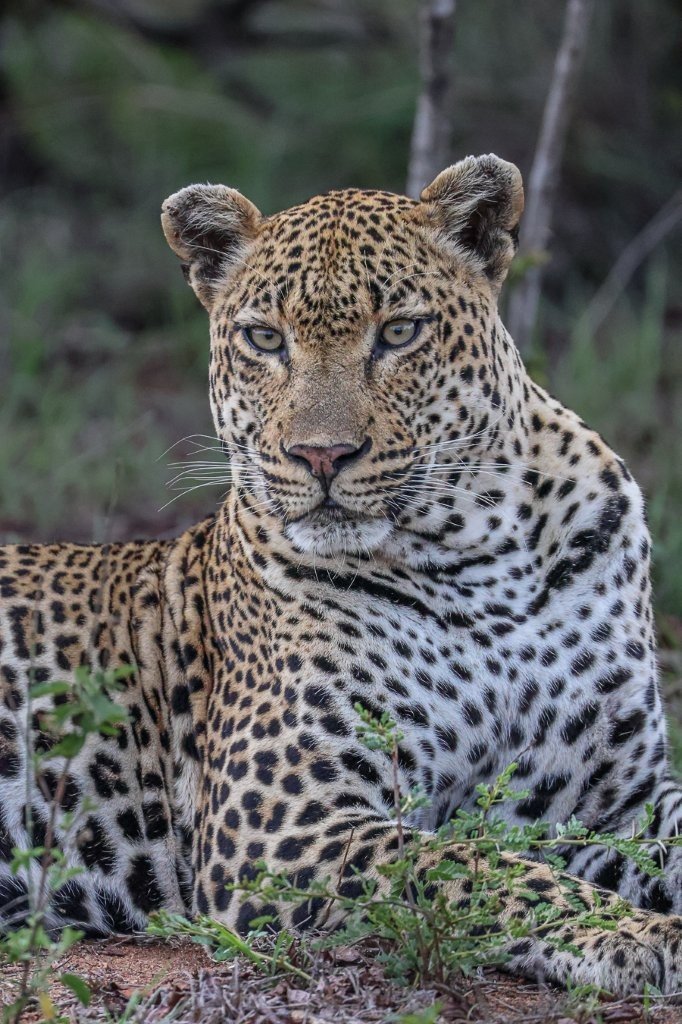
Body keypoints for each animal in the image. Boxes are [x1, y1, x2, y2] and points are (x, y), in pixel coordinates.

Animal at [1, 154, 681, 998]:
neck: (483, 561)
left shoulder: (618, 800)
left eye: (399, 332)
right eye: (265, 339)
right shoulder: (282, 824)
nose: (321, 455)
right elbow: (474, 864)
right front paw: (635, 933)